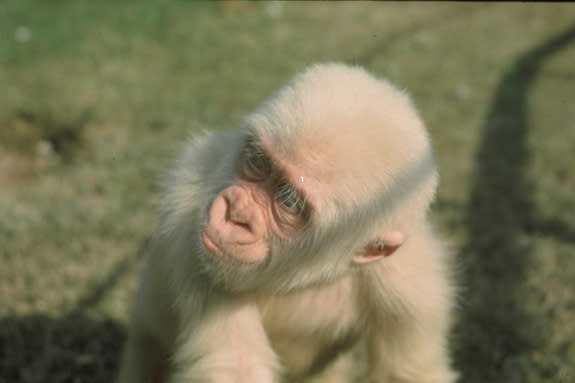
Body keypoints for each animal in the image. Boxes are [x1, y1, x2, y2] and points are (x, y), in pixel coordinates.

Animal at [117, 63, 460, 383]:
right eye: (257, 161)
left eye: (289, 201)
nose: (236, 212)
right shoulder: (188, 215)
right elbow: (236, 365)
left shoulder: (414, 285)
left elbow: (407, 373)